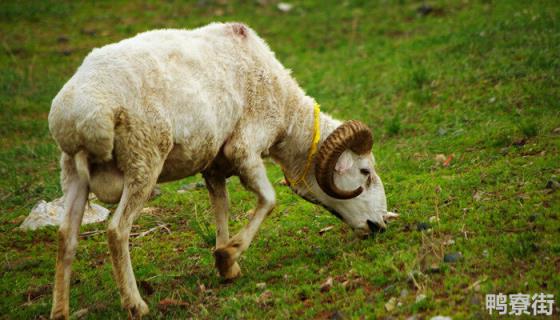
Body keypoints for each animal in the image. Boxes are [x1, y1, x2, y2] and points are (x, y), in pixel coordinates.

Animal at [48, 21, 396, 318]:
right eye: (365, 172)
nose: (379, 225)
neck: (285, 110)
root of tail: (80, 115)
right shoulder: (244, 147)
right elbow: (269, 200)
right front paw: (228, 256)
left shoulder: (213, 164)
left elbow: (221, 207)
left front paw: (226, 265)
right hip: (143, 160)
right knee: (117, 230)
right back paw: (136, 304)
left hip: (73, 172)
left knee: (66, 237)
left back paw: (60, 311)